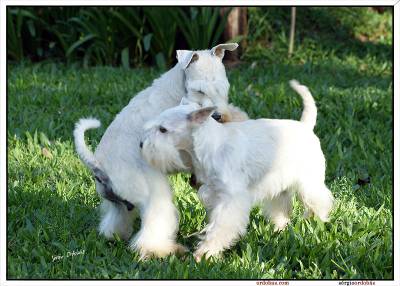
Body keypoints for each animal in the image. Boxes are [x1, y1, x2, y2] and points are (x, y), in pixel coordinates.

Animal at [72, 43, 242, 258]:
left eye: (222, 88)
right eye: (199, 90)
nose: (219, 116)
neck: (178, 88)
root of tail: (98, 166)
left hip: (119, 205)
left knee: (115, 222)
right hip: (154, 196)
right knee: (152, 230)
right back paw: (165, 250)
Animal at [141, 80, 334, 262]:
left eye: (163, 129)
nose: (141, 144)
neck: (211, 147)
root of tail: (305, 127)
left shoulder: (230, 200)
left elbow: (219, 228)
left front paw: (205, 254)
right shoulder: (214, 194)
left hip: (309, 183)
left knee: (319, 202)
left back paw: (315, 223)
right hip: (280, 188)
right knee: (281, 209)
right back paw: (279, 229)